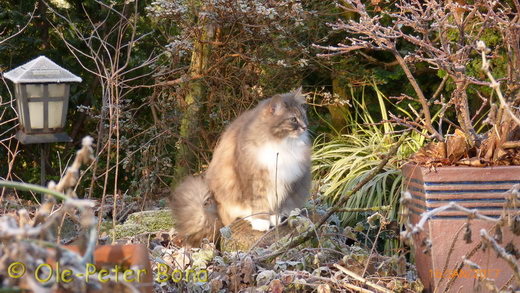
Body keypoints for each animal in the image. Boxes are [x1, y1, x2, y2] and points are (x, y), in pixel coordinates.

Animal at [171, 88, 310, 245]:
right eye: (293, 119)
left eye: (303, 116)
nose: (305, 127)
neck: (281, 143)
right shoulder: (256, 179)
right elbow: (259, 204)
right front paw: (261, 222)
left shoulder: (285, 180)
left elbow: (278, 204)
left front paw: (275, 218)